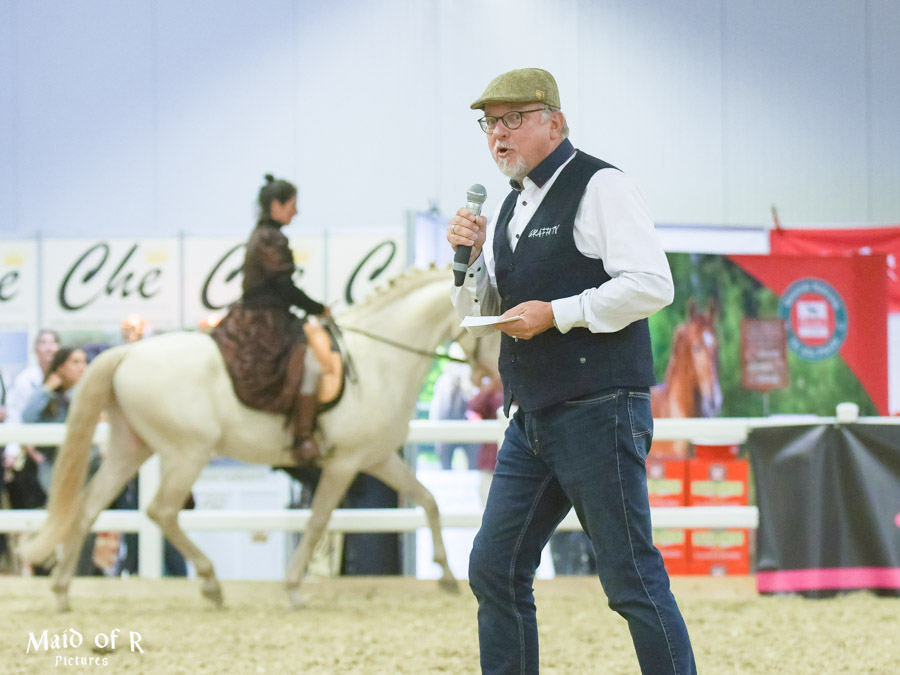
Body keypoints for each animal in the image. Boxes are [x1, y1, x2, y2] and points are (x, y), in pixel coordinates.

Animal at [20, 265, 494, 611]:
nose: (494, 378)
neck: (380, 359)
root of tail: (127, 352)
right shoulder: (344, 464)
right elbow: (318, 520)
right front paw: (294, 587)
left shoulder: (377, 458)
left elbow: (429, 501)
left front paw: (447, 577)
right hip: (186, 454)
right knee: (161, 511)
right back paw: (211, 583)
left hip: (129, 448)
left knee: (89, 507)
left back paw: (62, 592)